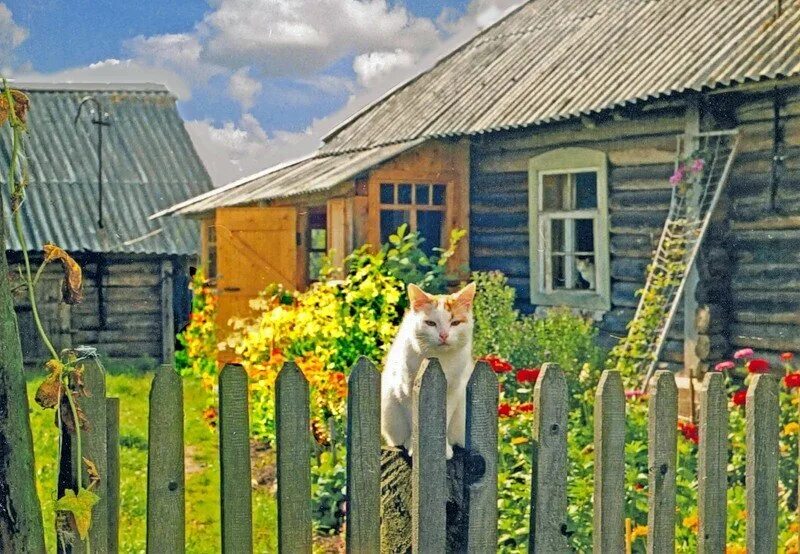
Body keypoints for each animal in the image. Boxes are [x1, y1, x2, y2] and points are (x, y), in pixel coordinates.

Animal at [382, 280, 476, 458]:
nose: (444, 335)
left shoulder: (453, 392)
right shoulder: (406, 391)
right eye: (431, 323)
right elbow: (413, 421)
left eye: (455, 323)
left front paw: (444, 449)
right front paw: (414, 447)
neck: (439, 359)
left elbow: (444, 420)